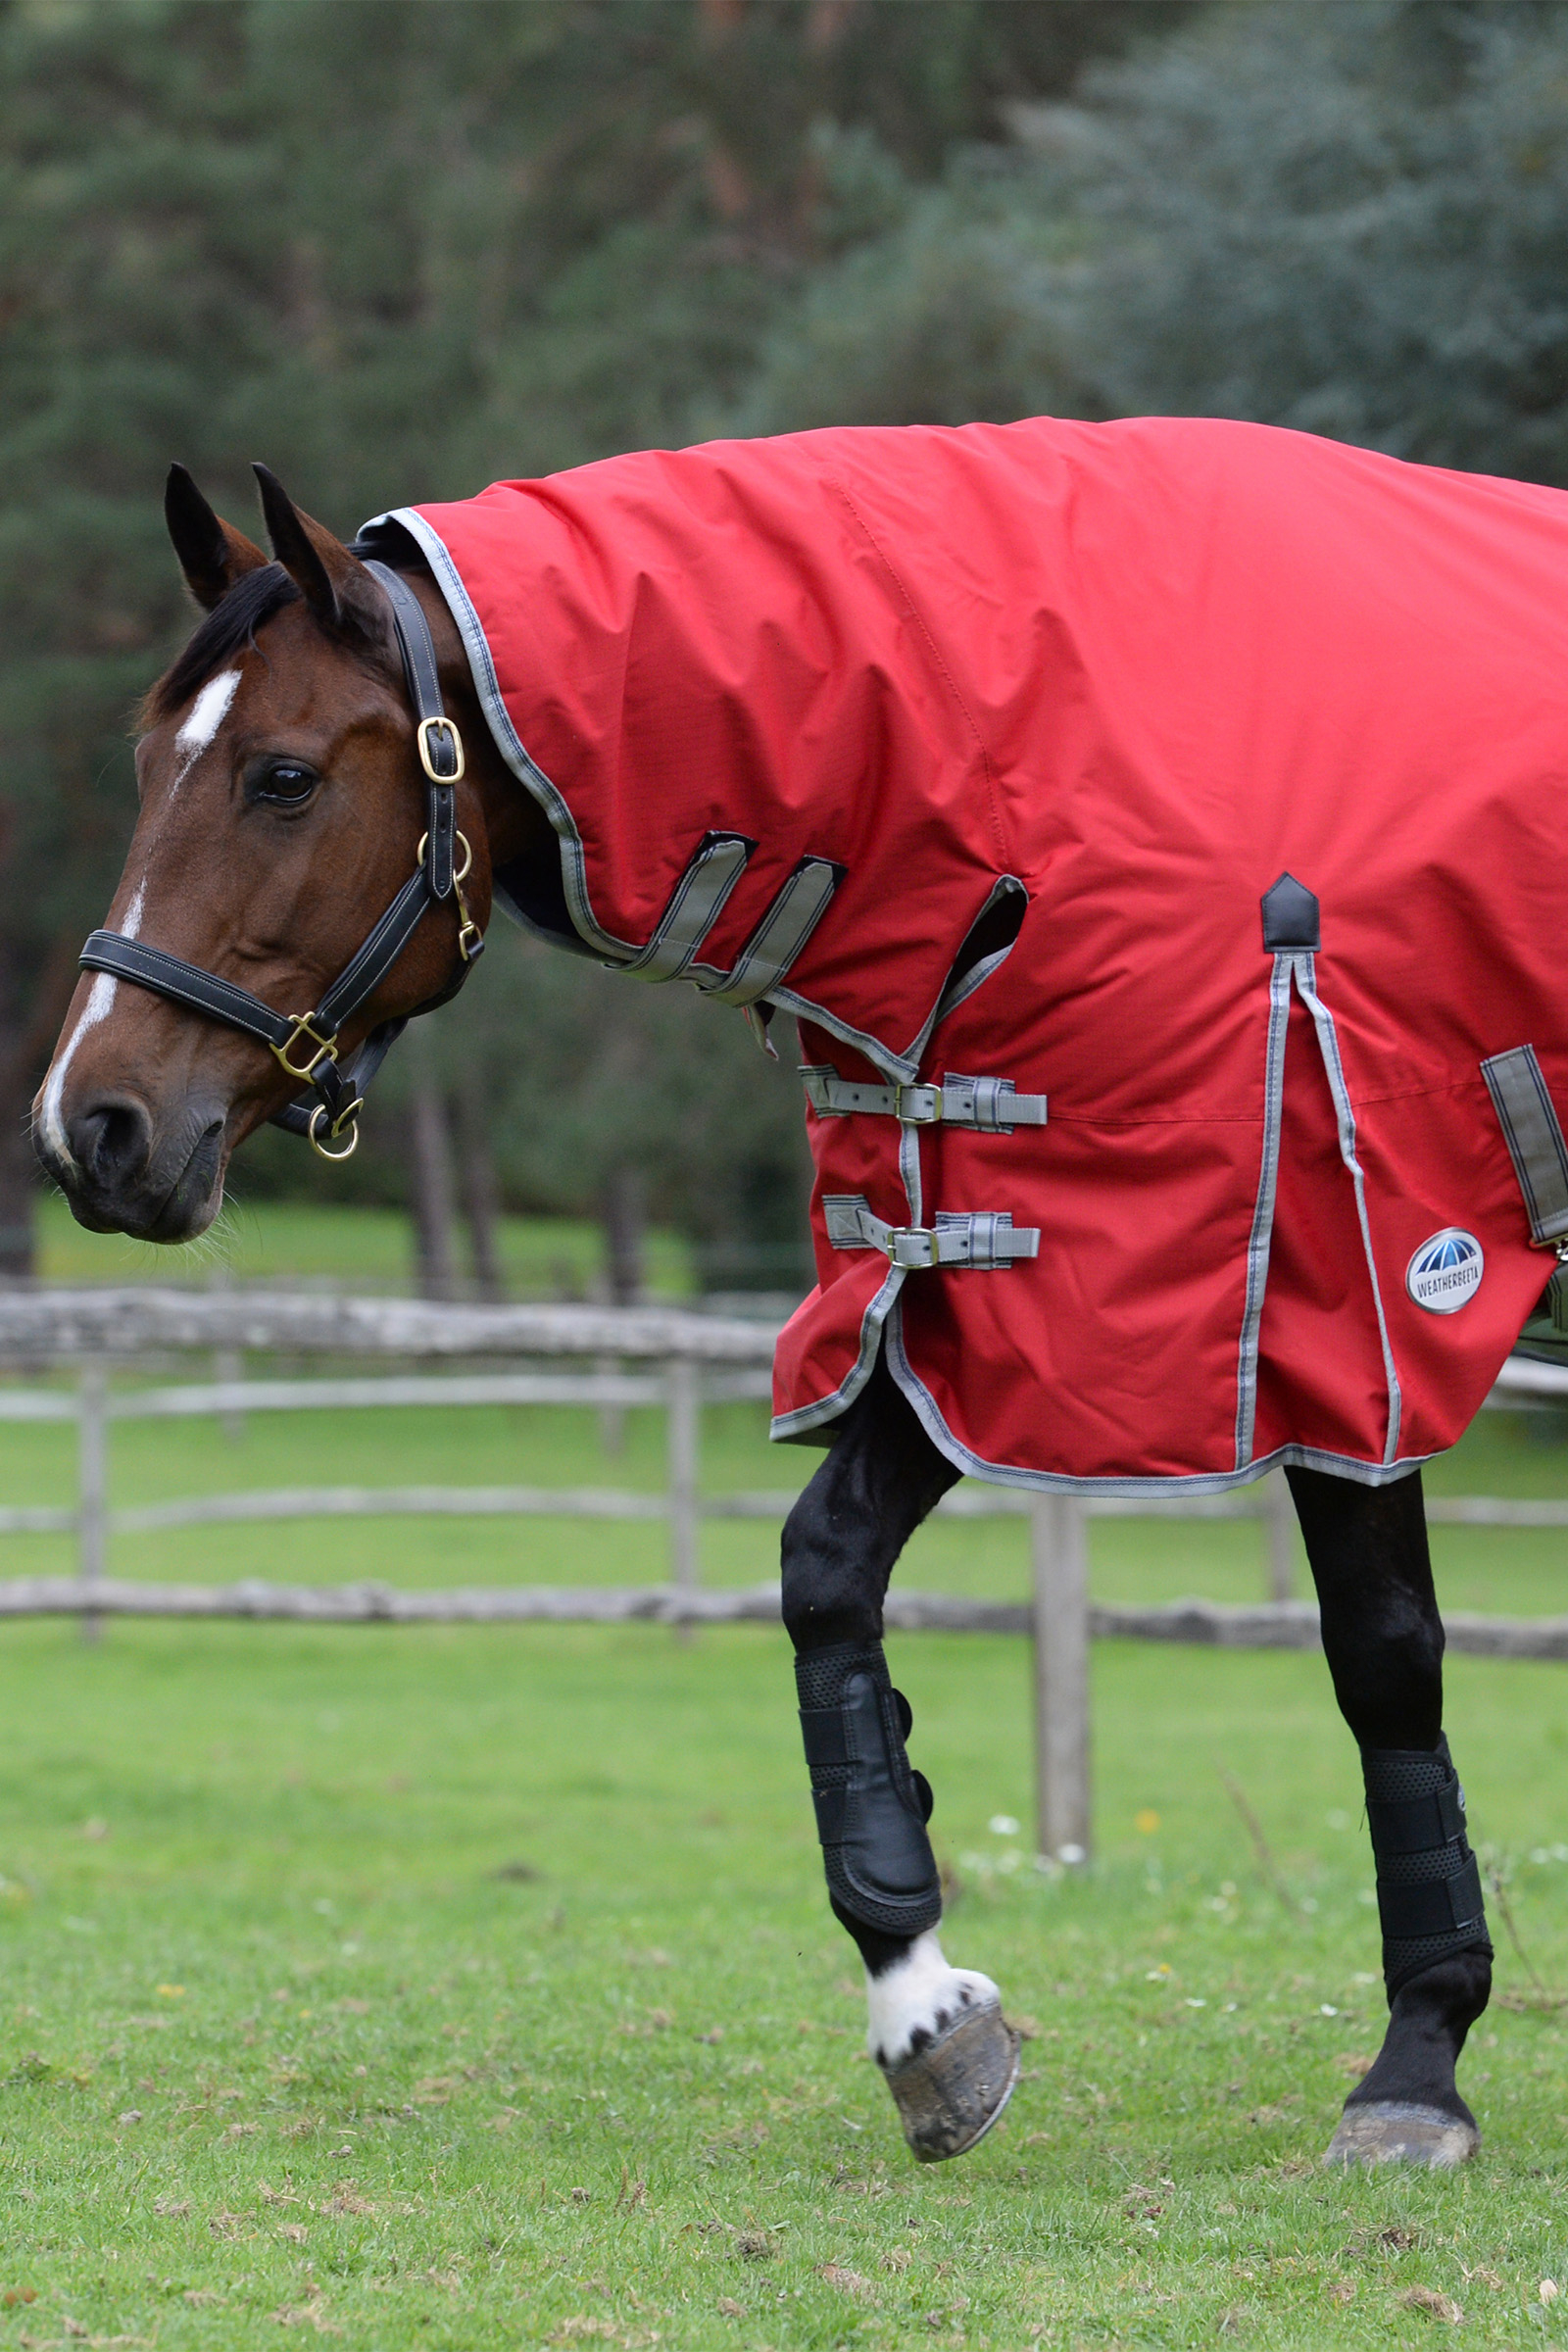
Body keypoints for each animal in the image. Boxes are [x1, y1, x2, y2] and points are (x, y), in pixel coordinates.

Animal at [46, 413, 1565, 2173]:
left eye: (282, 776)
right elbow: (826, 1572)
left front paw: (1421, 2060)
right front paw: (923, 2005)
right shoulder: (969, 1275)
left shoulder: (1322, 1289)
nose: (91, 1129)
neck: (1031, 740)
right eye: (147, 764)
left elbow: (1385, 1655)